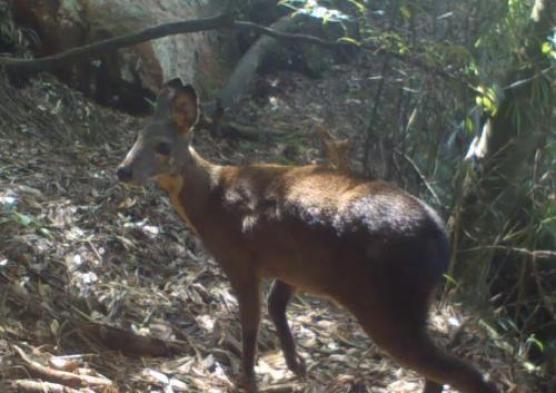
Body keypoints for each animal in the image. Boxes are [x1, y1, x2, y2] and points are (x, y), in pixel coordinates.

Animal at [117, 79, 500, 392]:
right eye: (136, 138)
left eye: (163, 146)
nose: (123, 171)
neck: (210, 198)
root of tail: (442, 239)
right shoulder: (292, 265)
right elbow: (276, 305)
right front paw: (296, 364)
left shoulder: (239, 258)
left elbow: (251, 320)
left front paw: (249, 379)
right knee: (440, 372)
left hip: (389, 305)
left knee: (468, 374)